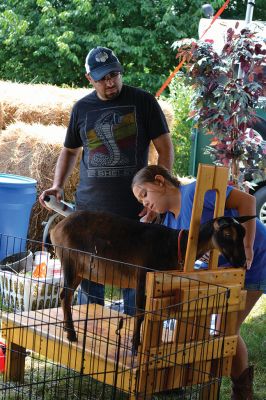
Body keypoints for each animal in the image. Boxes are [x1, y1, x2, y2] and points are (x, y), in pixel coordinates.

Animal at [50, 211, 254, 352]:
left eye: (244, 233)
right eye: (227, 234)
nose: (243, 263)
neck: (174, 245)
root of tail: (56, 229)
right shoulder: (142, 277)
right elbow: (140, 313)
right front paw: (134, 346)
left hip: (79, 270)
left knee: (66, 295)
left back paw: (69, 331)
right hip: (69, 261)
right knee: (65, 296)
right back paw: (71, 334)